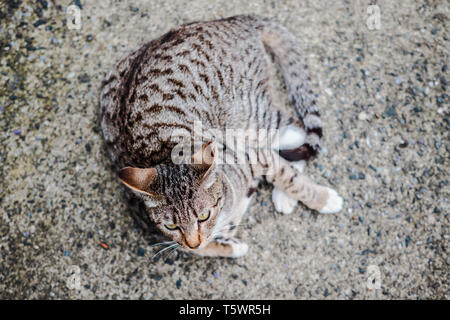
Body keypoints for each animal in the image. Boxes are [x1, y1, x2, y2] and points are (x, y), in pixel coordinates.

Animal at [100, 14, 342, 258]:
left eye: (203, 215)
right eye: (171, 226)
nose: (193, 242)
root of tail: (234, 20)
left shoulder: (253, 156)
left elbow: (289, 178)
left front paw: (322, 198)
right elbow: (203, 249)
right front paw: (228, 245)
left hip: (251, 122)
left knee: (301, 133)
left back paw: (286, 194)